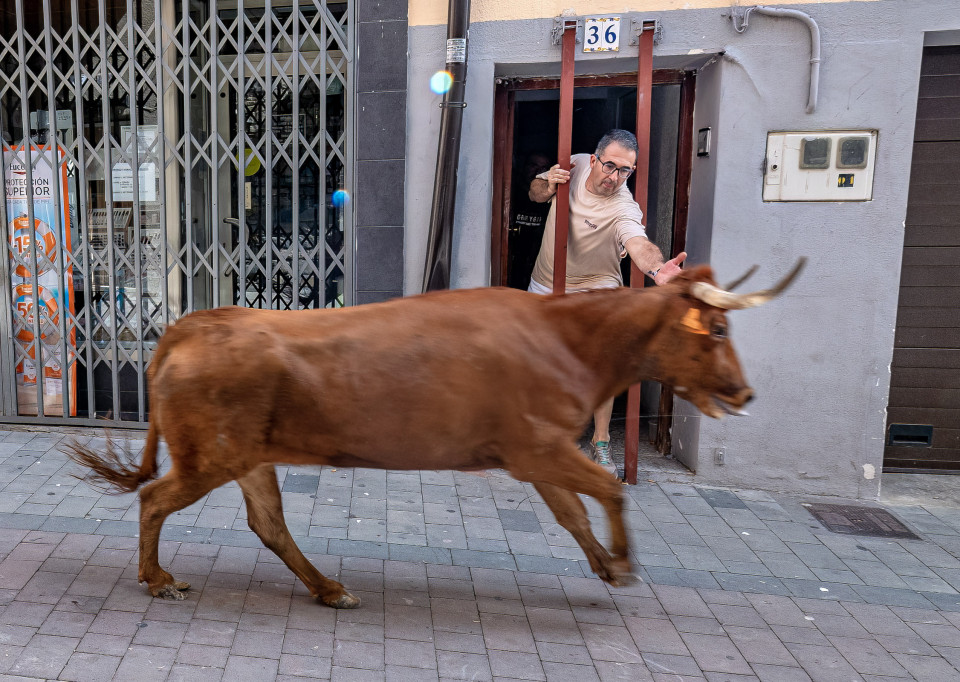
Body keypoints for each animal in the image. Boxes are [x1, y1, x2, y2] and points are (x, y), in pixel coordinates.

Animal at [67, 260, 803, 609]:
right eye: (718, 328)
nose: (745, 393)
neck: (567, 340)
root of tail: (192, 323)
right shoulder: (538, 448)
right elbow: (610, 491)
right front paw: (621, 563)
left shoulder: (534, 454)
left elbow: (573, 512)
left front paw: (602, 562)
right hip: (209, 456)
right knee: (155, 499)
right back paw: (158, 579)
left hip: (248, 455)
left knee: (268, 523)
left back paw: (328, 589)